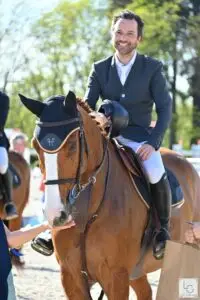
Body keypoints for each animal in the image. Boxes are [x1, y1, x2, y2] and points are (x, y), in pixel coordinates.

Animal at [19, 92, 200, 300]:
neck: (88, 212)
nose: (55, 214)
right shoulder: (71, 277)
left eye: (72, 145)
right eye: (35, 145)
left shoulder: (116, 276)